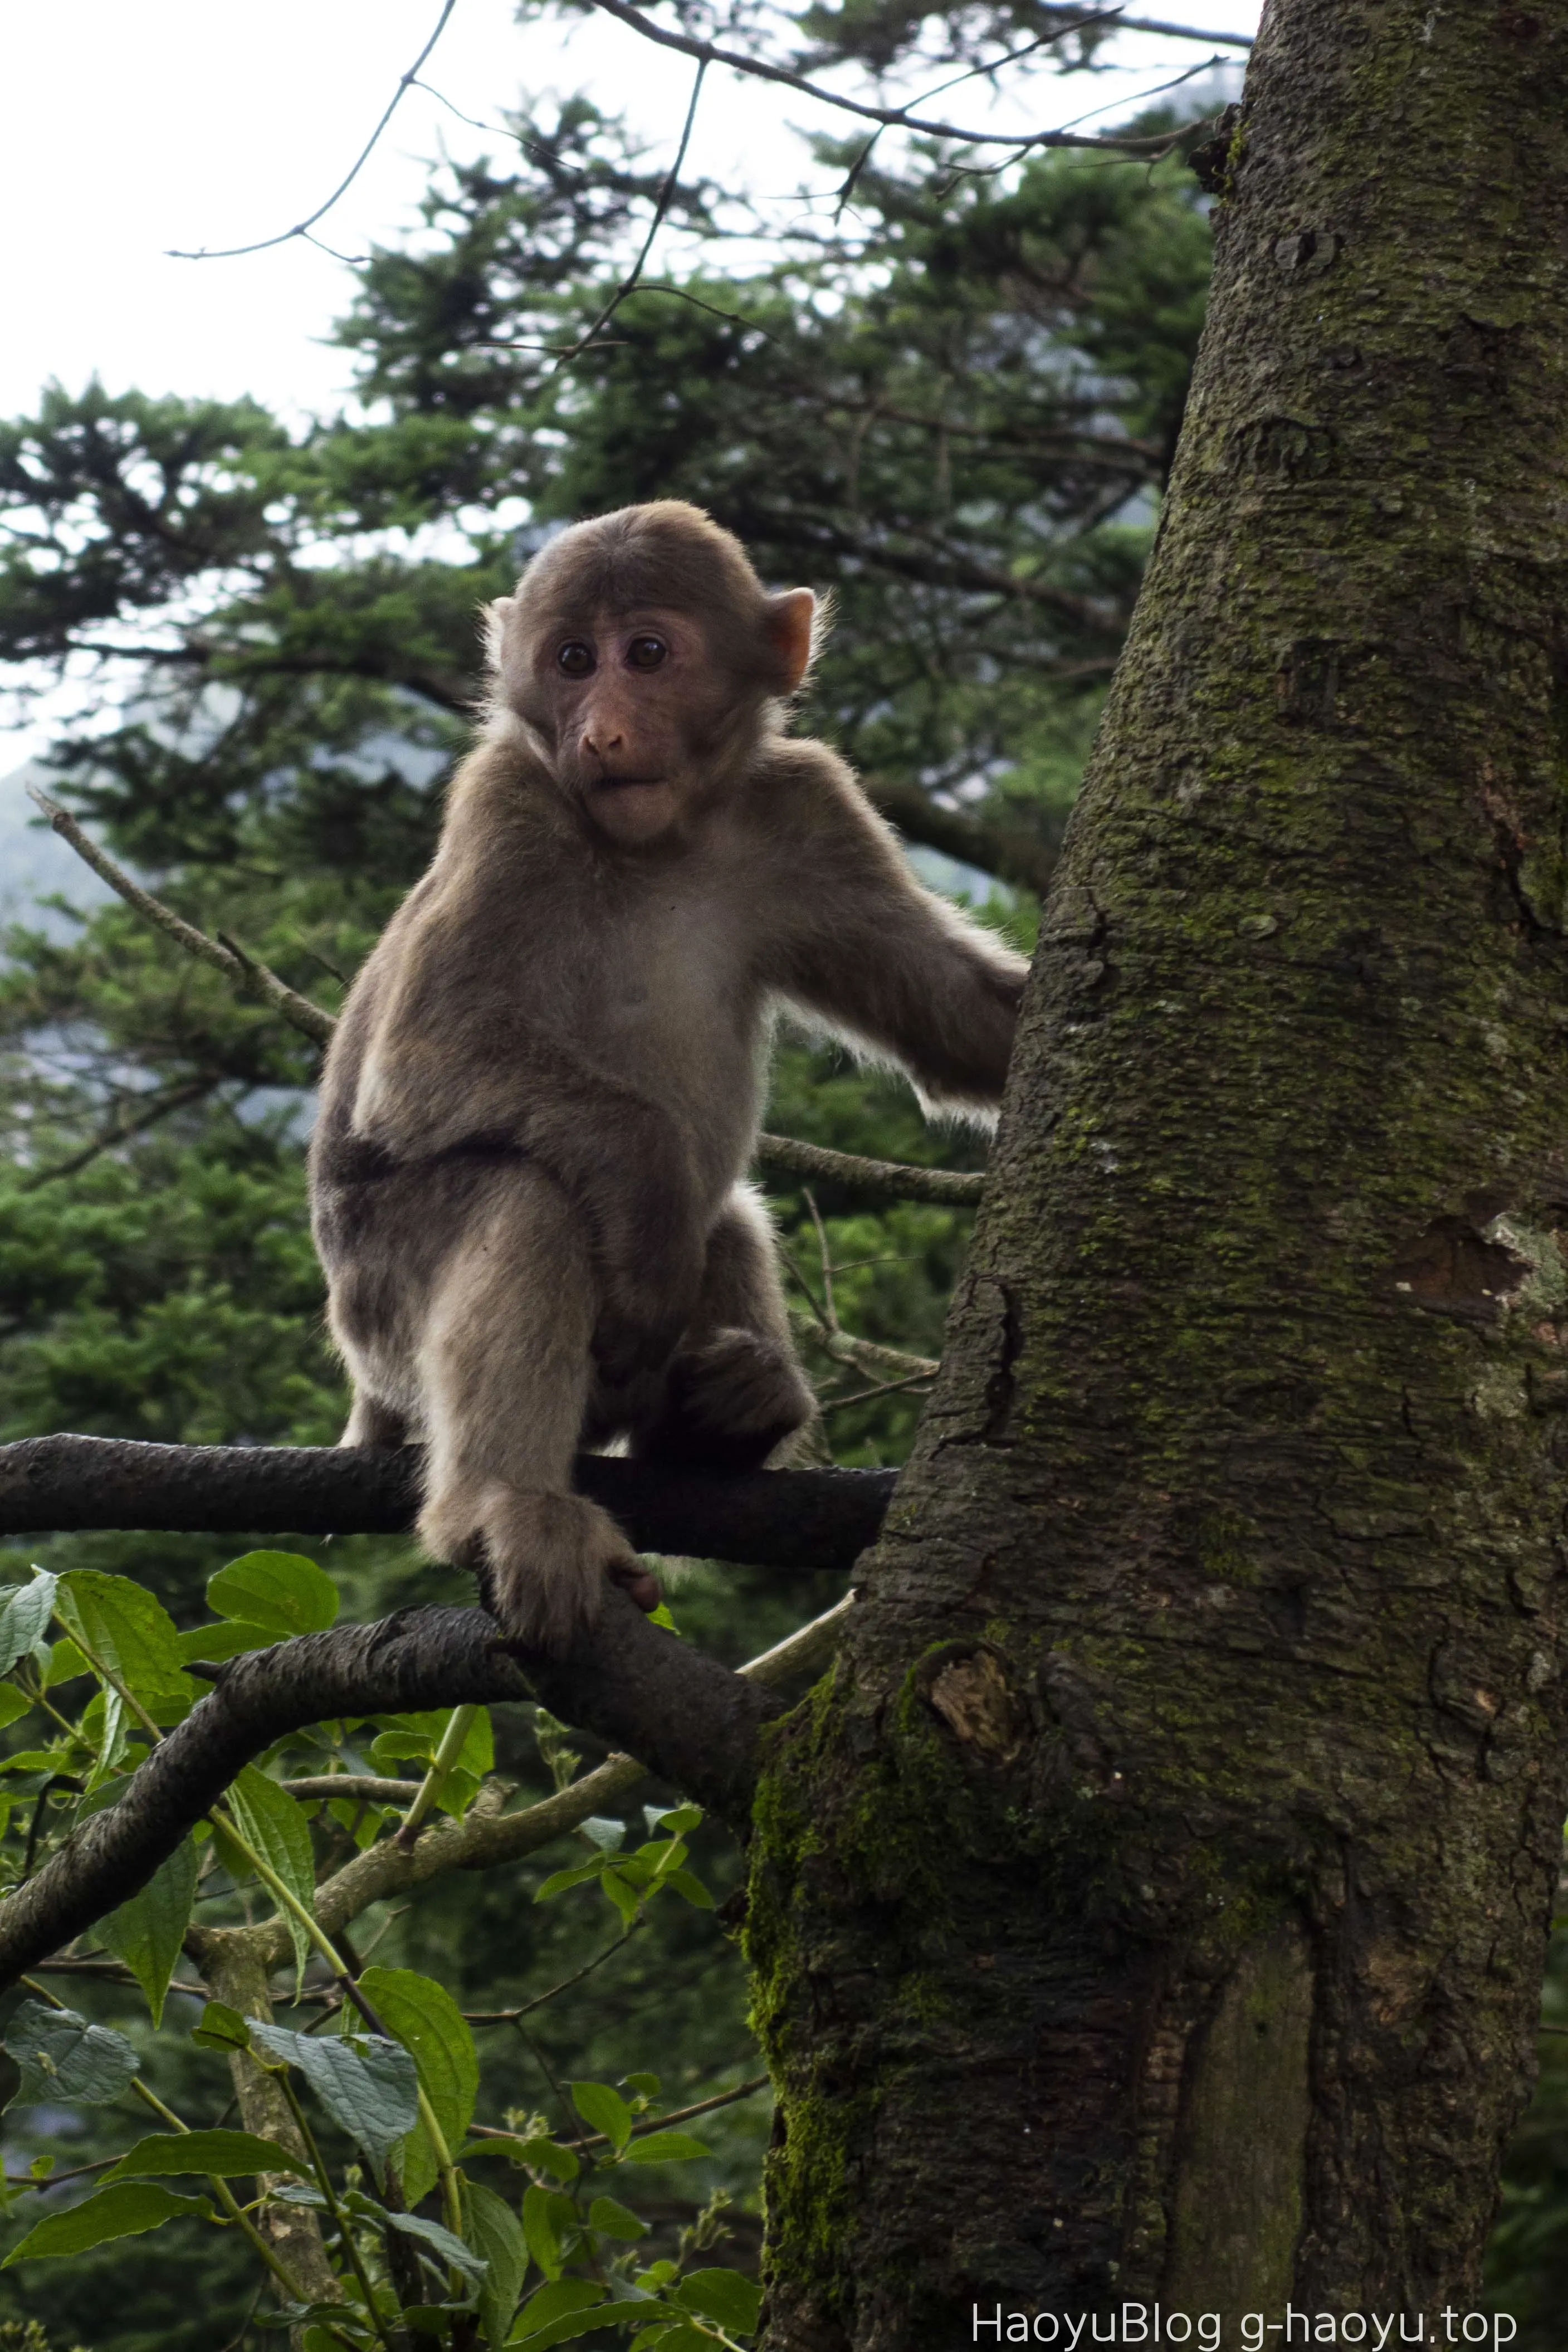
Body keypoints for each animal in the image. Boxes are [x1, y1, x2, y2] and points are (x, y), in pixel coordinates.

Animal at [310, 501, 1029, 1656]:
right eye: (572, 660)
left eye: (646, 654)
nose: (600, 732)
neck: (669, 837)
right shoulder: (509, 801)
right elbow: (427, 1057)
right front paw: (648, 1206)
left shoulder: (807, 808)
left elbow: (955, 1020)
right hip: (376, 1306)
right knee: (524, 1199)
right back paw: (507, 1504)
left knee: (728, 1218)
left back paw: (723, 1415)